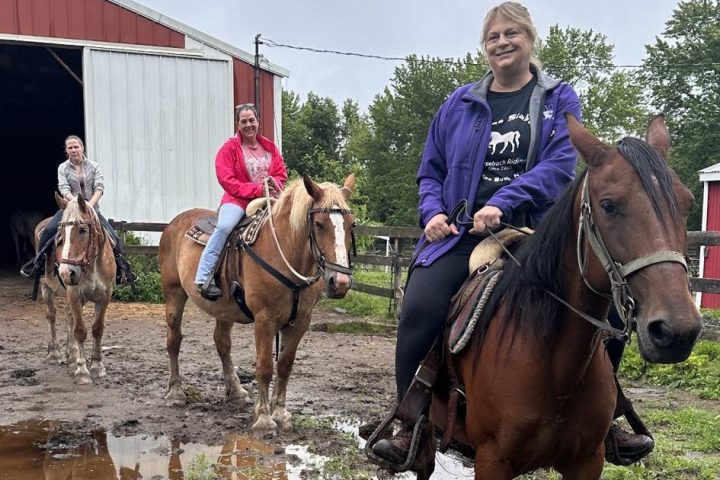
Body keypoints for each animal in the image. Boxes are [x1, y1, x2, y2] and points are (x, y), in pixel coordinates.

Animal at [36, 193, 116, 384]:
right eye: (61, 233)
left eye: (83, 230)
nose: (66, 272)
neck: (92, 265)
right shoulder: (74, 294)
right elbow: (79, 330)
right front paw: (82, 371)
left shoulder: (105, 296)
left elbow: (97, 329)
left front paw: (97, 366)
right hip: (46, 288)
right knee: (52, 316)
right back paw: (54, 354)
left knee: (68, 316)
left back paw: (71, 356)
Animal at [159, 174, 355, 436]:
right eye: (319, 224)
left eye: (352, 225)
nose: (340, 282)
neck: (285, 255)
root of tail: (174, 224)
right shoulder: (264, 320)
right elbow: (264, 367)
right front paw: (263, 418)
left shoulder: (301, 321)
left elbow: (284, 366)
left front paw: (281, 414)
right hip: (174, 294)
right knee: (174, 340)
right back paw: (175, 392)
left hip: (224, 309)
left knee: (222, 343)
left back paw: (235, 390)